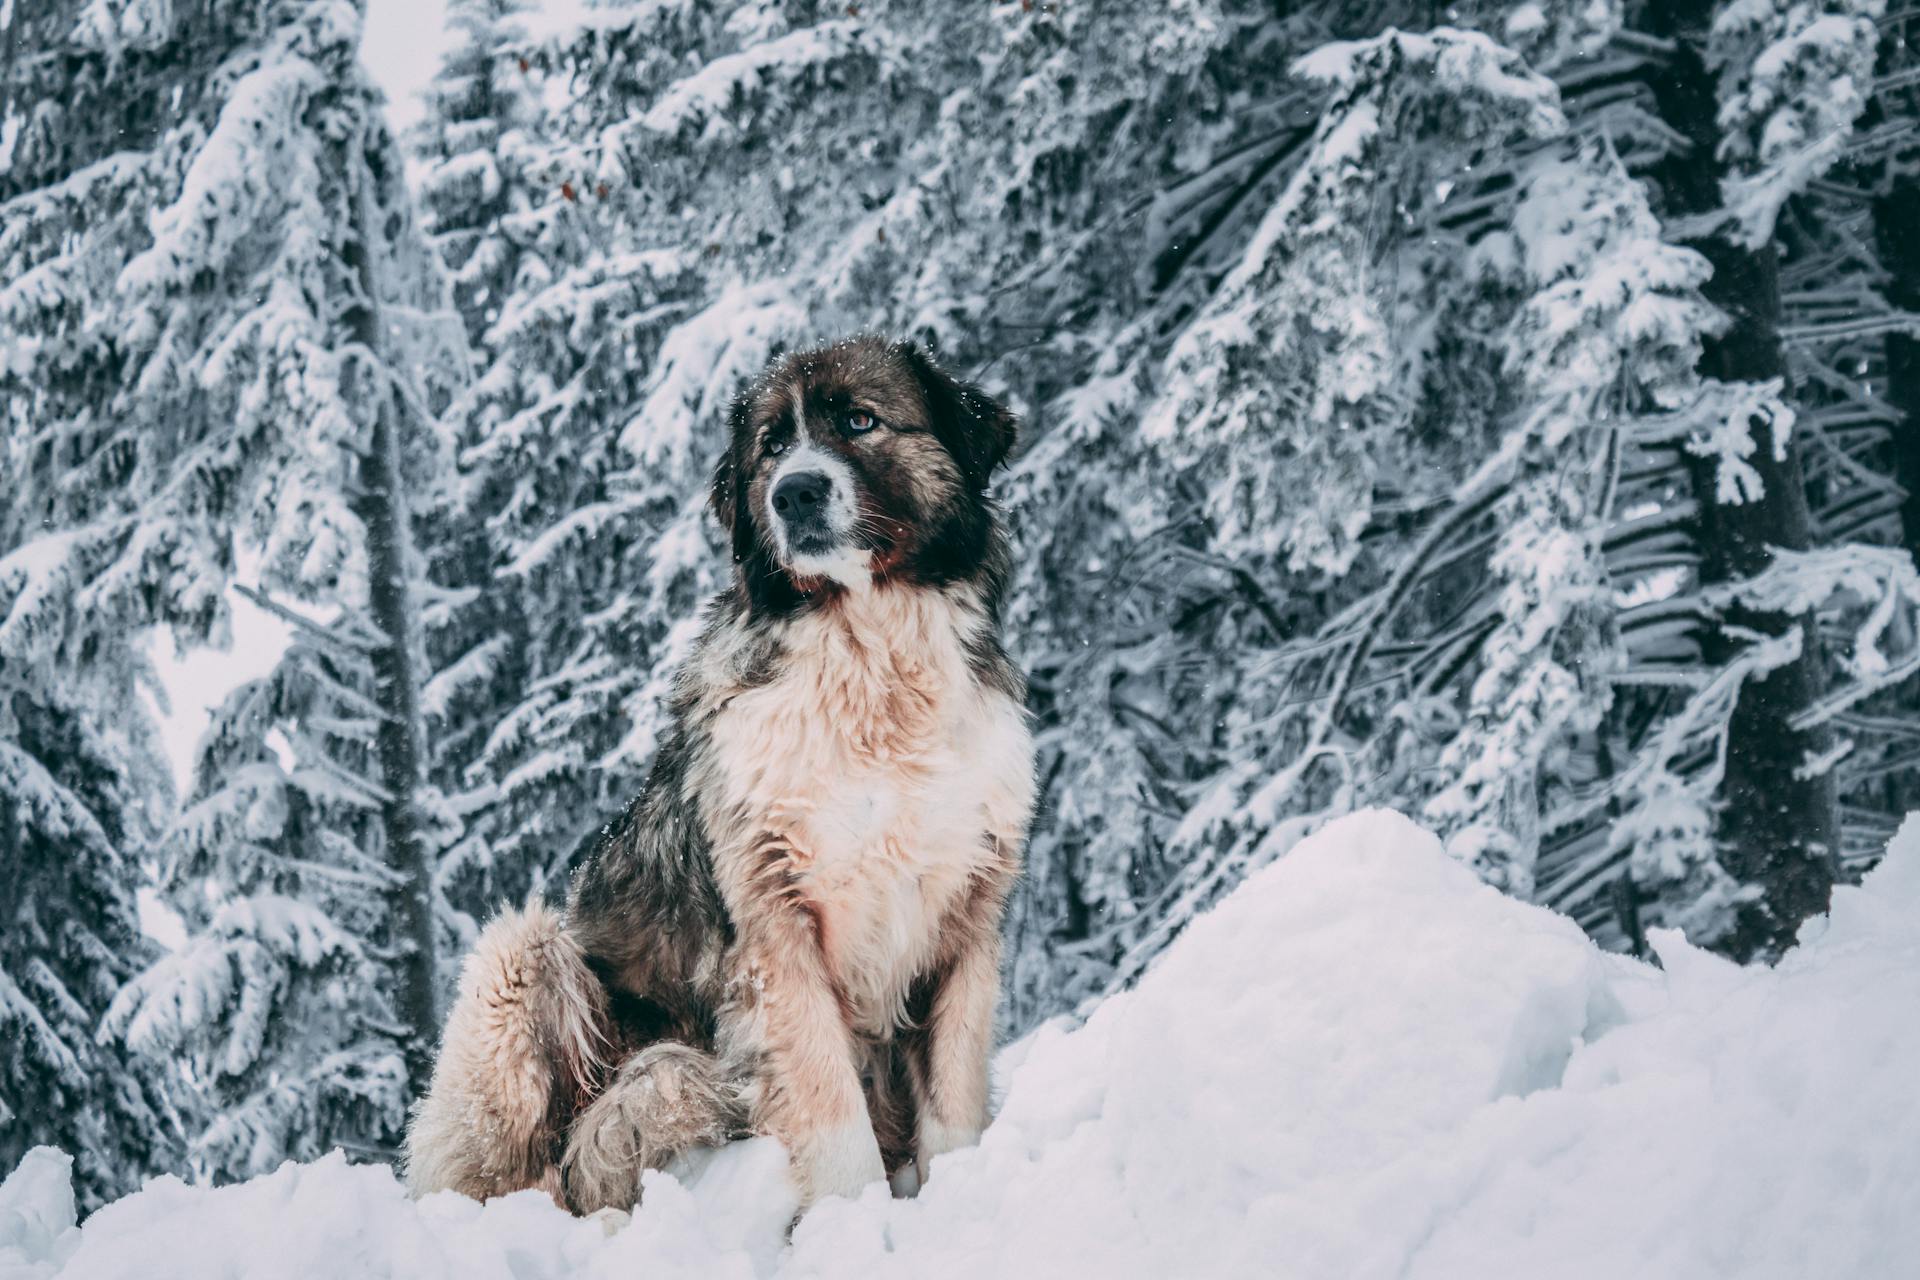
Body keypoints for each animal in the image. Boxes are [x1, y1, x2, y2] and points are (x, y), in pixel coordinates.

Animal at [405, 337, 1036, 1212]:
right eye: (770, 446)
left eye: (860, 421)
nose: (794, 491)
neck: (874, 670)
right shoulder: (776, 932)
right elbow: (830, 1108)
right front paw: (852, 1220)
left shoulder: (966, 920)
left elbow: (953, 1104)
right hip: (524, 954)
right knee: (515, 1168)